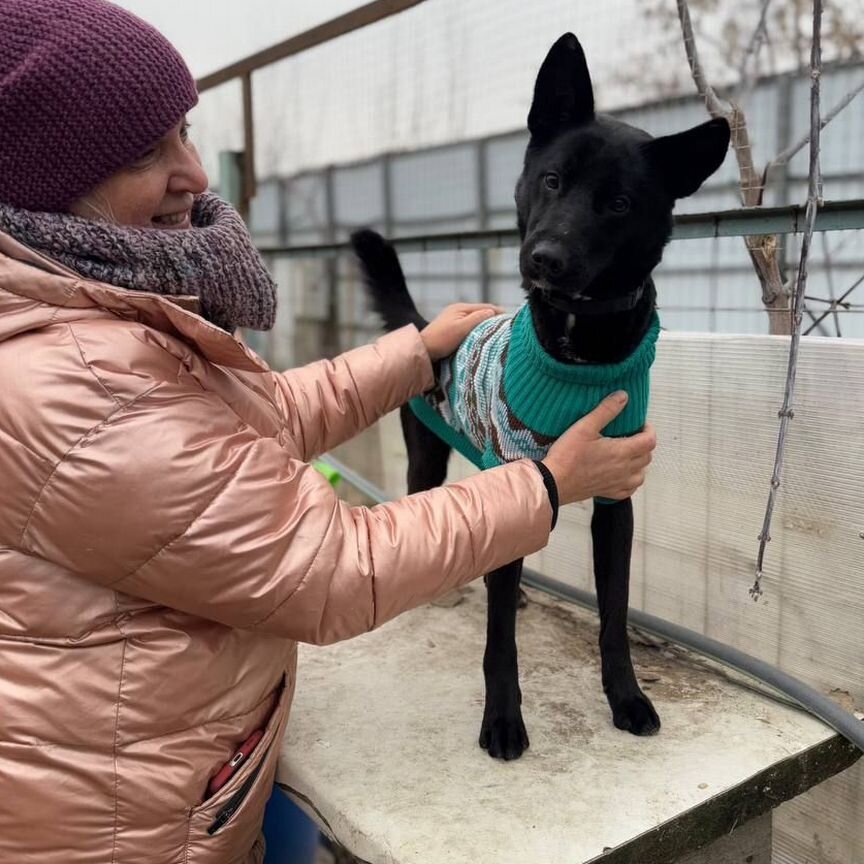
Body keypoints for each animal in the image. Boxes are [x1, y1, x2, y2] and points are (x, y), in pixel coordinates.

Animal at [352, 32, 728, 756]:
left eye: (618, 204)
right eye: (552, 180)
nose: (544, 259)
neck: (578, 341)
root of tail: (424, 324)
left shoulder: (616, 502)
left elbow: (613, 615)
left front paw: (626, 697)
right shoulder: (522, 470)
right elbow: (500, 638)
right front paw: (502, 719)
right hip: (429, 457)